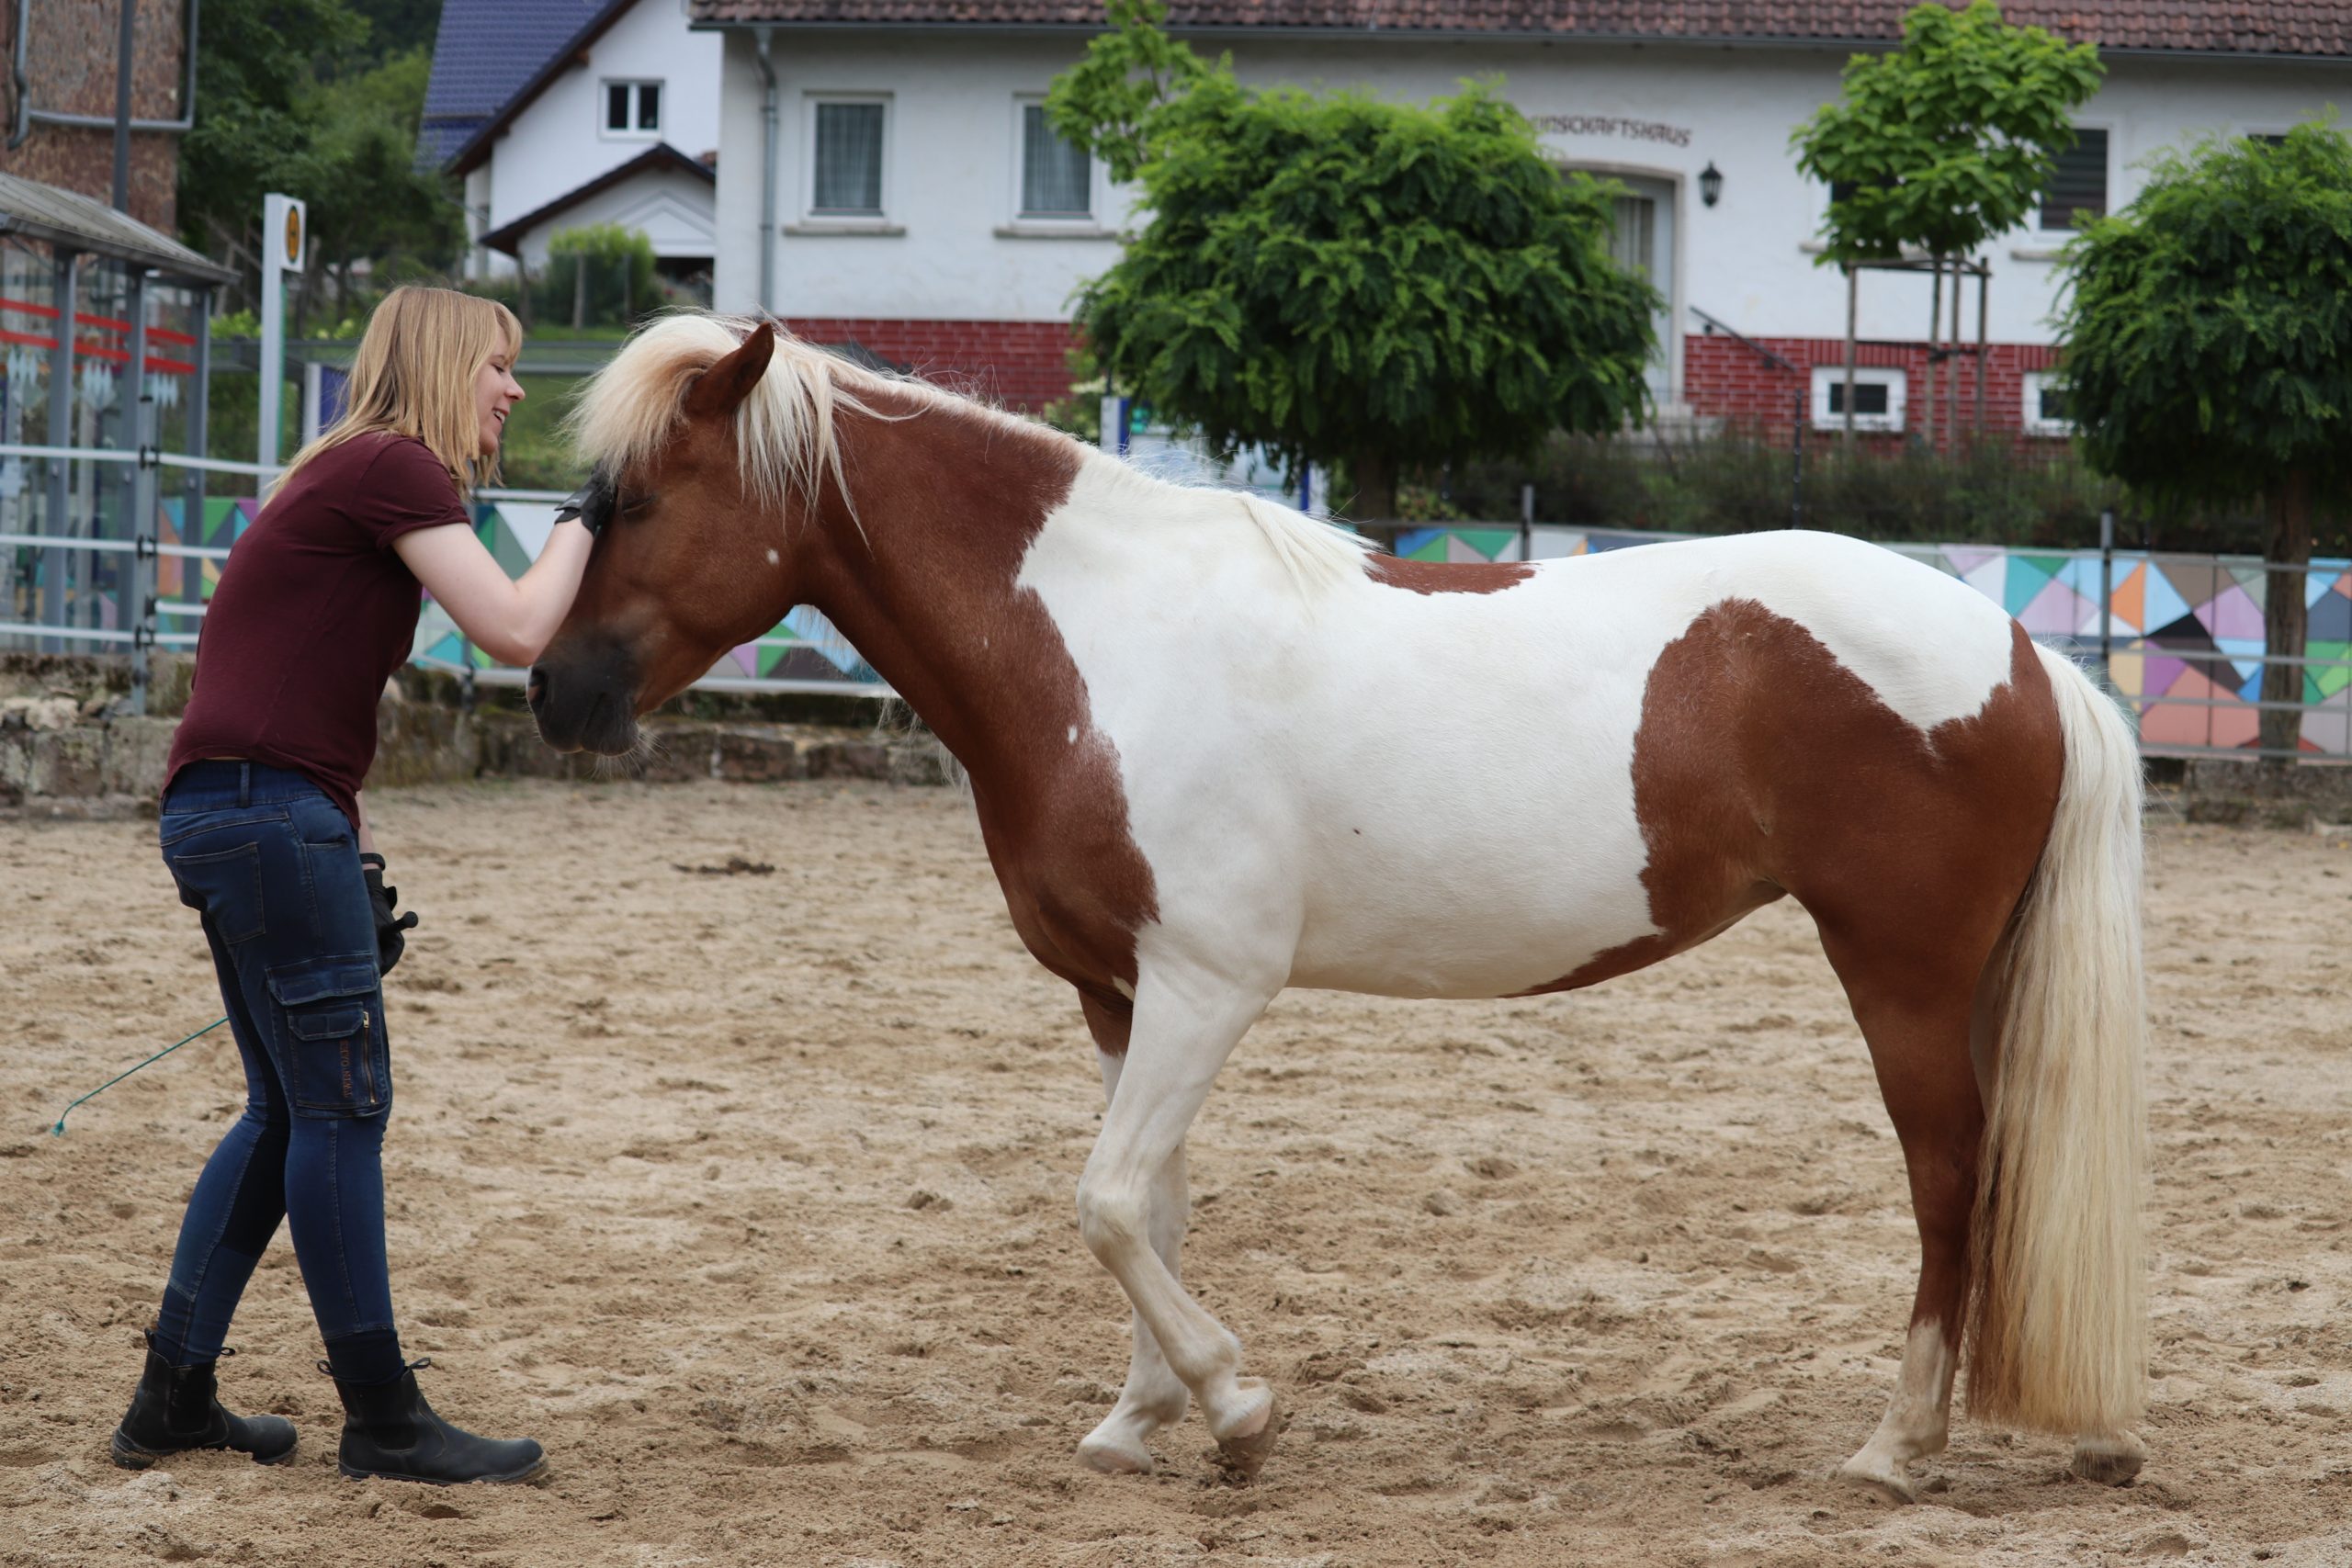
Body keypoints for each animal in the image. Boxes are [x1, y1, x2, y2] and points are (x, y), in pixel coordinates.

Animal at [528, 314, 2149, 1499]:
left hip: (1901, 973)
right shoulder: (1120, 992)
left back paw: (1897, 1448)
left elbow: (1105, 1198)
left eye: (640, 499)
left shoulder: (1208, 983)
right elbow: (1152, 1203)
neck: (1099, 642)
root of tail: (2019, 652)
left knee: (1949, 1176)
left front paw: (1237, 1407)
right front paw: (1140, 1419)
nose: (555, 693)